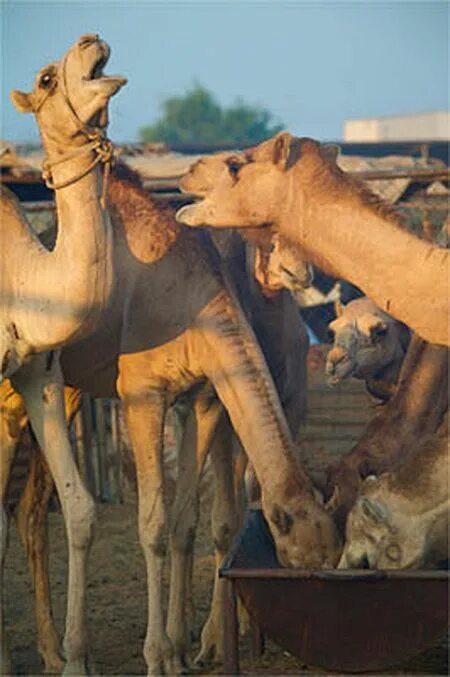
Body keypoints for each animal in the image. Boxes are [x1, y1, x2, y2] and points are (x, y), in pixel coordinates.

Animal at [1, 166, 336, 672]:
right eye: (299, 567)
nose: (303, 271)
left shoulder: (204, 397)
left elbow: (186, 522)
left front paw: (182, 648)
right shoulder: (142, 393)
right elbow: (154, 525)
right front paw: (161, 656)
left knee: (26, 510)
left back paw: (55, 652)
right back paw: (55, 653)